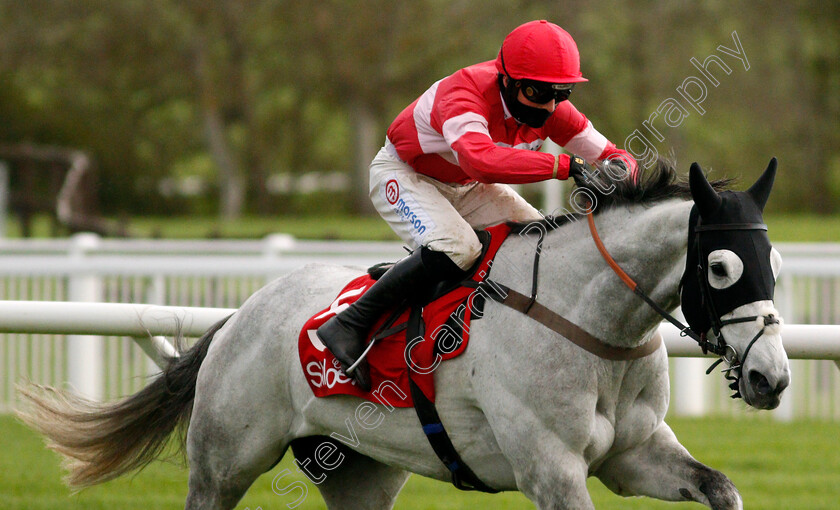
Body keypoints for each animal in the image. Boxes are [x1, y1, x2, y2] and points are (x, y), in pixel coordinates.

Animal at [21, 158, 796, 506]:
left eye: (777, 265)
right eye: (722, 266)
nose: (772, 378)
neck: (592, 328)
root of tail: (239, 315)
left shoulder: (633, 457)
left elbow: (720, 487)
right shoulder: (552, 469)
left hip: (359, 470)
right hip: (223, 463)